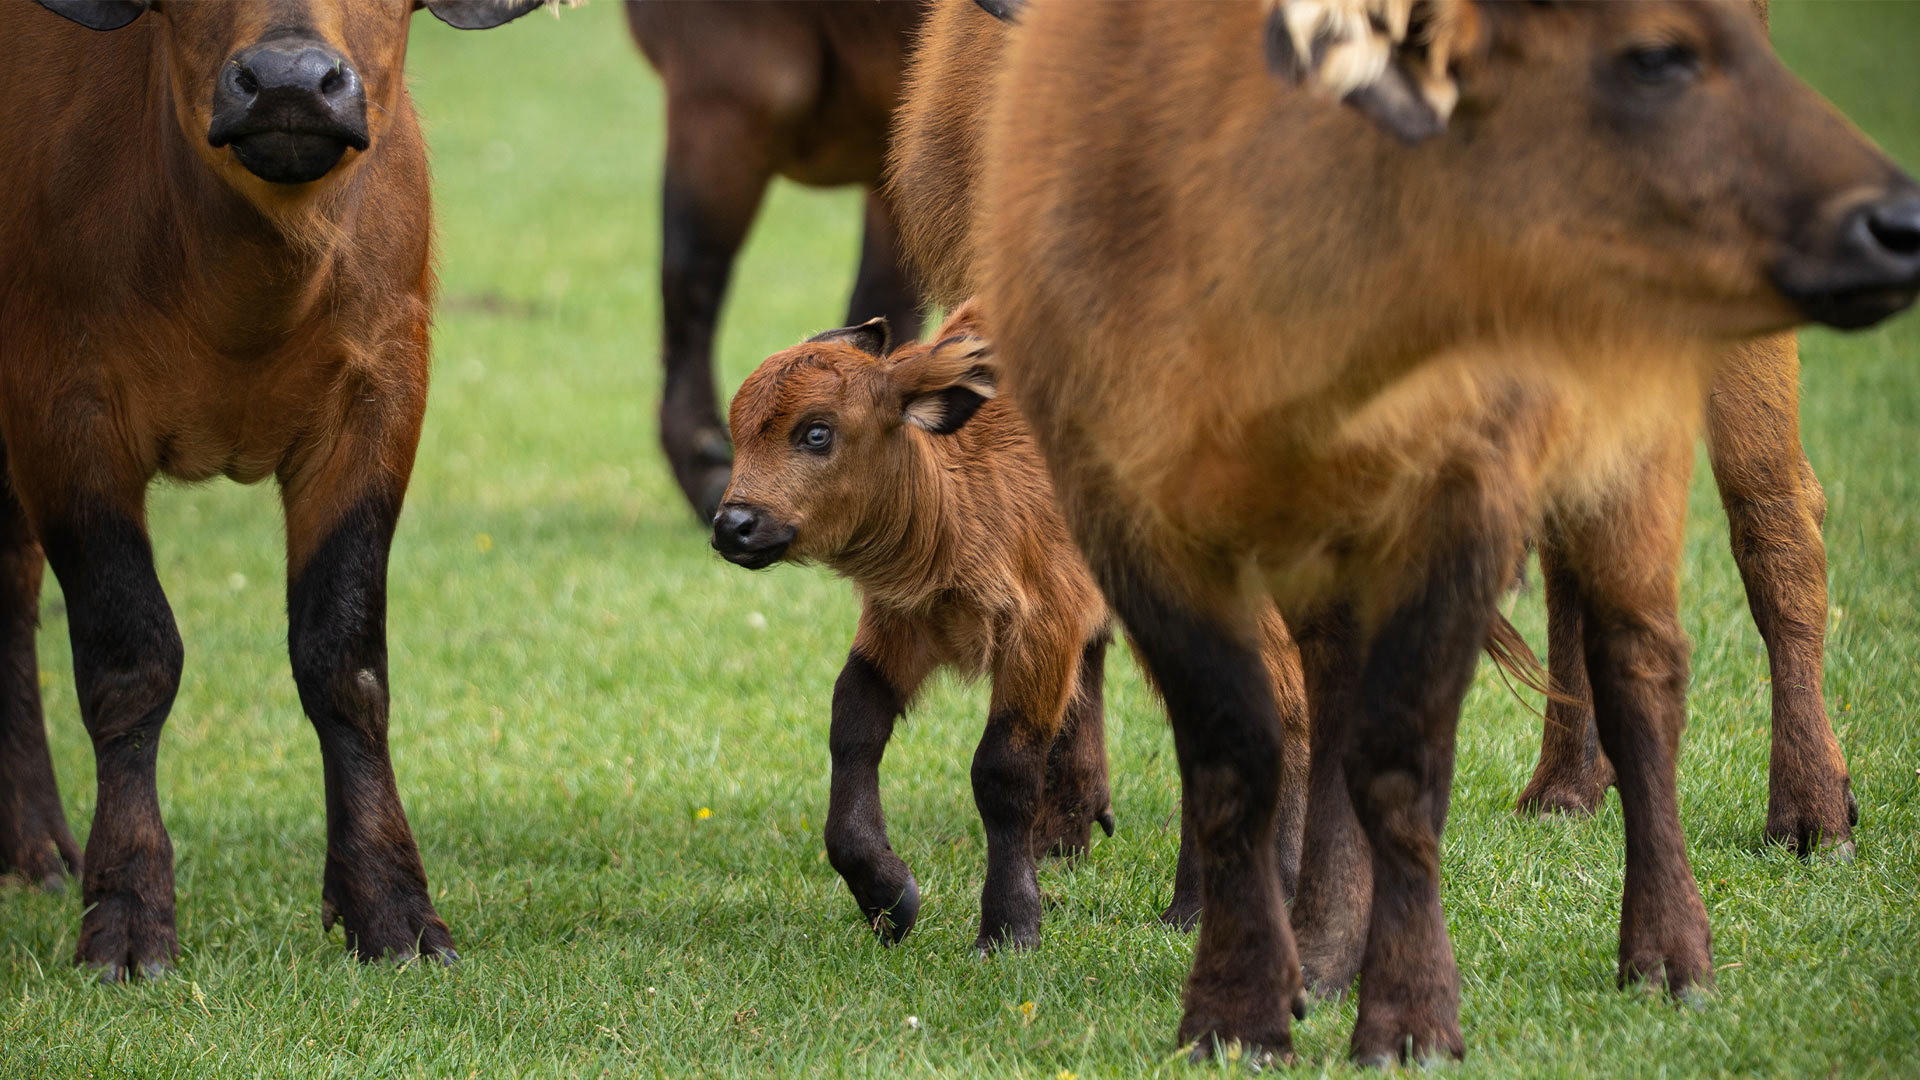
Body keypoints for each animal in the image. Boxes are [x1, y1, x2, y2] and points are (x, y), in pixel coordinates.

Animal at [0, 0, 555, 980]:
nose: (291, 83)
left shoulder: (381, 401)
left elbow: (345, 660)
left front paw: (390, 906)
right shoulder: (56, 410)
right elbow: (130, 656)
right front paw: (127, 913)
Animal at [708, 303, 1311, 949]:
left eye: (816, 432)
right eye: (738, 429)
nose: (732, 525)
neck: (960, 492)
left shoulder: (1045, 629)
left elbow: (1003, 770)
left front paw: (1008, 927)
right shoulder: (904, 621)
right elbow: (852, 726)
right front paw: (888, 896)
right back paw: (1199, 910)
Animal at [973, 0, 1920, 1065]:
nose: (1893, 221)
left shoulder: (1458, 498)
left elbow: (1400, 756)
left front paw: (1408, 1019)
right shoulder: (1140, 519)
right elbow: (1240, 748)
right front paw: (1244, 1010)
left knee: (1718, 591)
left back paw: (1748, 874)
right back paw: (1512, 825)